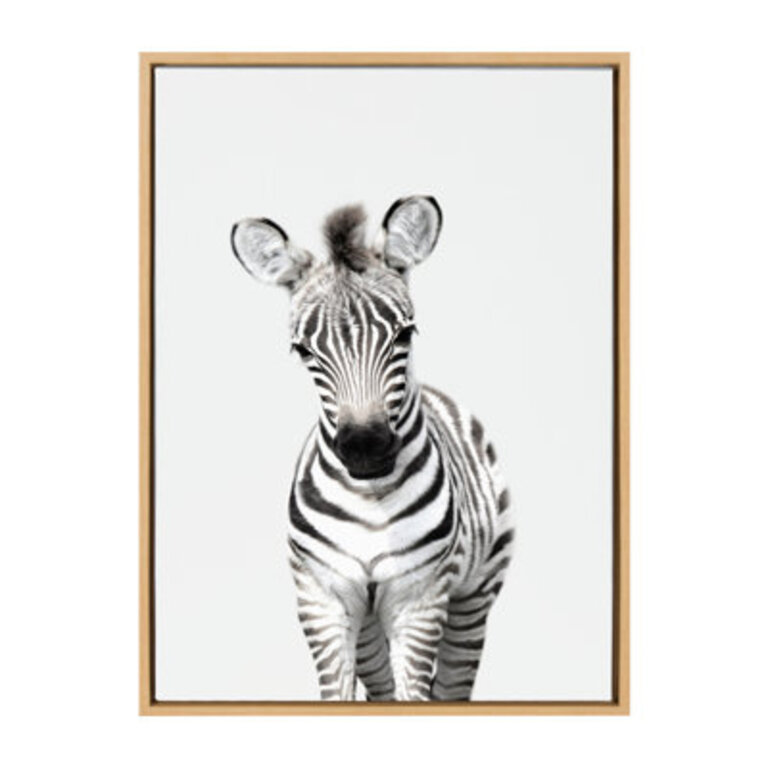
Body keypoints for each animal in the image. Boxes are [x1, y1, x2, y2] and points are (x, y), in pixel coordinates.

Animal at [231, 196, 515, 701]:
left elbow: (416, 694)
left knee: (452, 687)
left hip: (474, 596)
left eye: (405, 334)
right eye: (303, 351)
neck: (370, 501)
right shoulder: (322, 598)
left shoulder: (419, 599)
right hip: (366, 627)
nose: (365, 449)